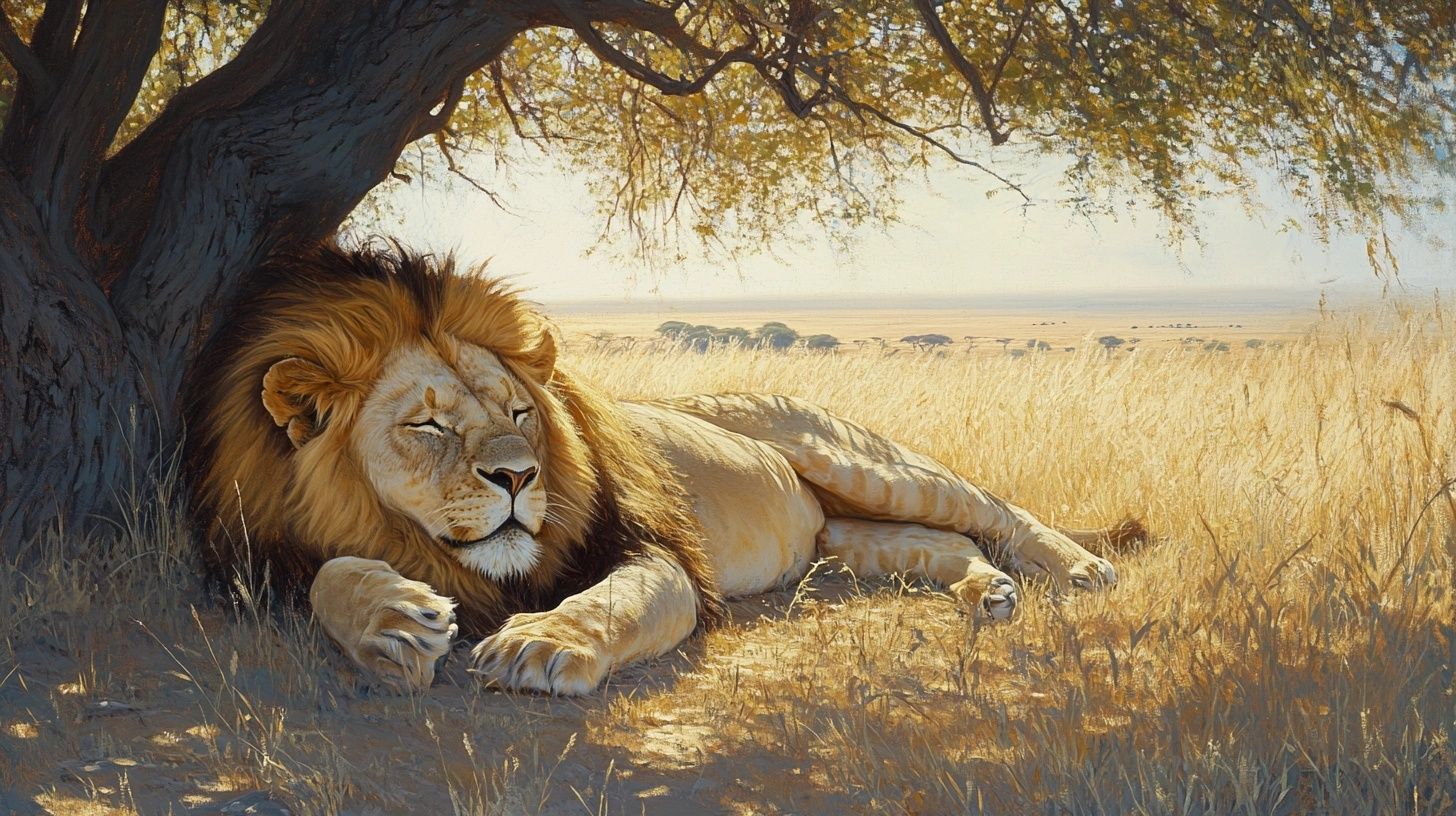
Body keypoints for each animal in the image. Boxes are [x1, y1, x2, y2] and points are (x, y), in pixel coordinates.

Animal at [186, 244, 1142, 695]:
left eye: (520, 414)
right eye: (427, 425)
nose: (520, 479)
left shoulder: (655, 555)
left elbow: (616, 600)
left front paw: (541, 643)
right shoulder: (267, 554)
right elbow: (330, 579)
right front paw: (391, 624)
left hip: (863, 461)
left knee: (994, 511)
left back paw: (1079, 570)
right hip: (843, 536)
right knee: (941, 545)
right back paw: (988, 593)